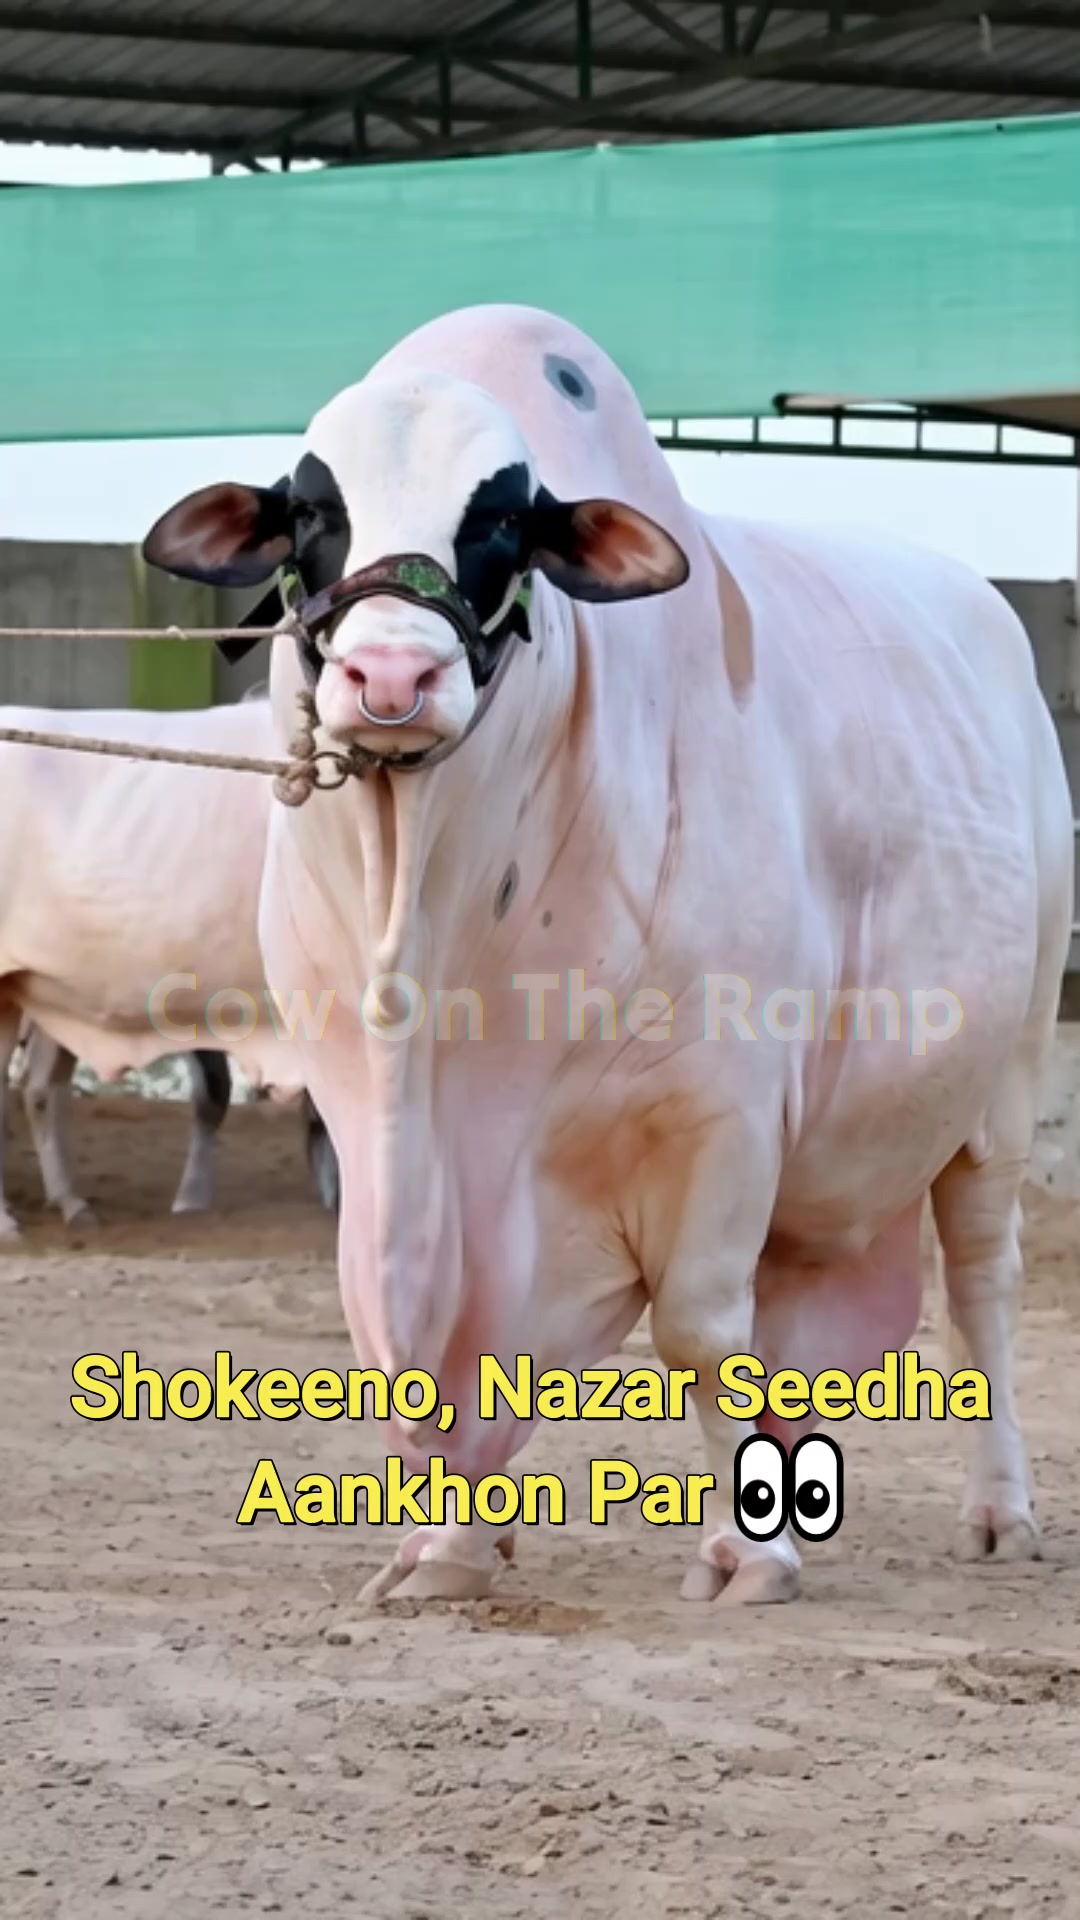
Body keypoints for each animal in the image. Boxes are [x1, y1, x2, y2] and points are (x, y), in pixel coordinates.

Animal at [142, 304, 1074, 1606]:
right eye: (315, 511)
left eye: (499, 521)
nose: (391, 675)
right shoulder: (364, 1120)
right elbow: (449, 1365)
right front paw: (447, 1551)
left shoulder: (721, 1116)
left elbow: (699, 1330)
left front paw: (749, 1559)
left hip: (1002, 1081)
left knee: (981, 1281)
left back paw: (999, 1510)